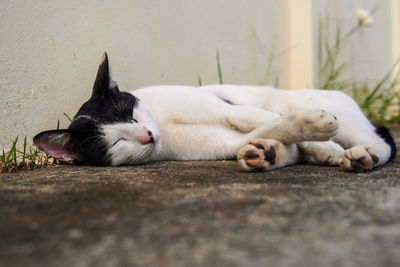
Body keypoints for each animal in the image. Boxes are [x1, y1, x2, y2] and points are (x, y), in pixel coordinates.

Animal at [34, 53, 396, 173]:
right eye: (115, 143)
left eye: (131, 116)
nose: (148, 136)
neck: (165, 124)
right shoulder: (221, 142)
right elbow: (272, 128)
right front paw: (312, 143)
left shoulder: (224, 108)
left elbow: (257, 118)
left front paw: (324, 144)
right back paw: (265, 154)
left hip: (343, 118)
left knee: (382, 143)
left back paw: (363, 155)